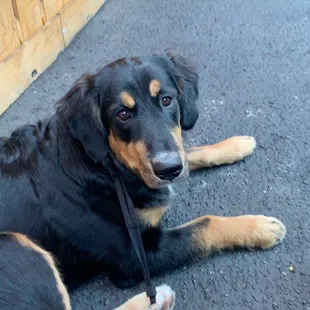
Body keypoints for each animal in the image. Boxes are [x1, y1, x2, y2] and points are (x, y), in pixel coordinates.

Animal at [0, 52, 286, 308]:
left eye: (167, 100)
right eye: (122, 114)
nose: (168, 170)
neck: (104, 166)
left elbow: (189, 152)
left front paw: (234, 145)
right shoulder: (133, 256)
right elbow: (205, 224)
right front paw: (258, 227)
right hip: (16, 244)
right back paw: (155, 300)